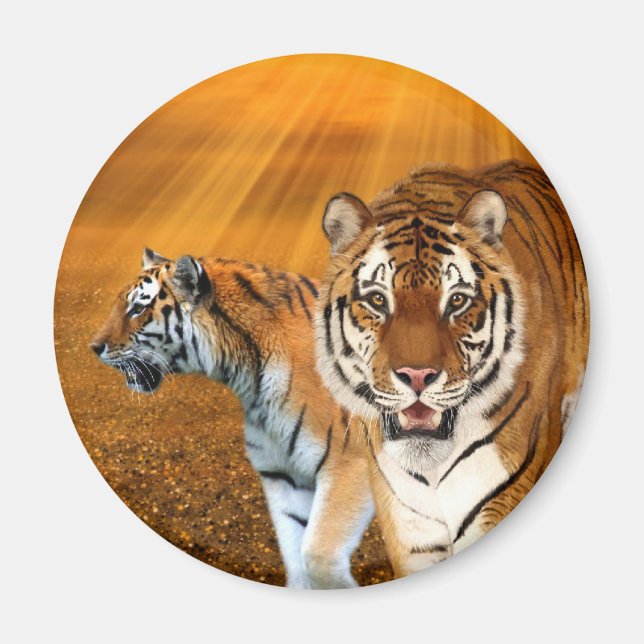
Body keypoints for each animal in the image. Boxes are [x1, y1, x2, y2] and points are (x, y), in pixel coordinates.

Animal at [90, 249, 374, 588]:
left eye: (137, 308)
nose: (94, 347)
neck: (249, 377)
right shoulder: (283, 474)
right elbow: (296, 561)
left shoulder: (351, 465)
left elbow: (319, 556)